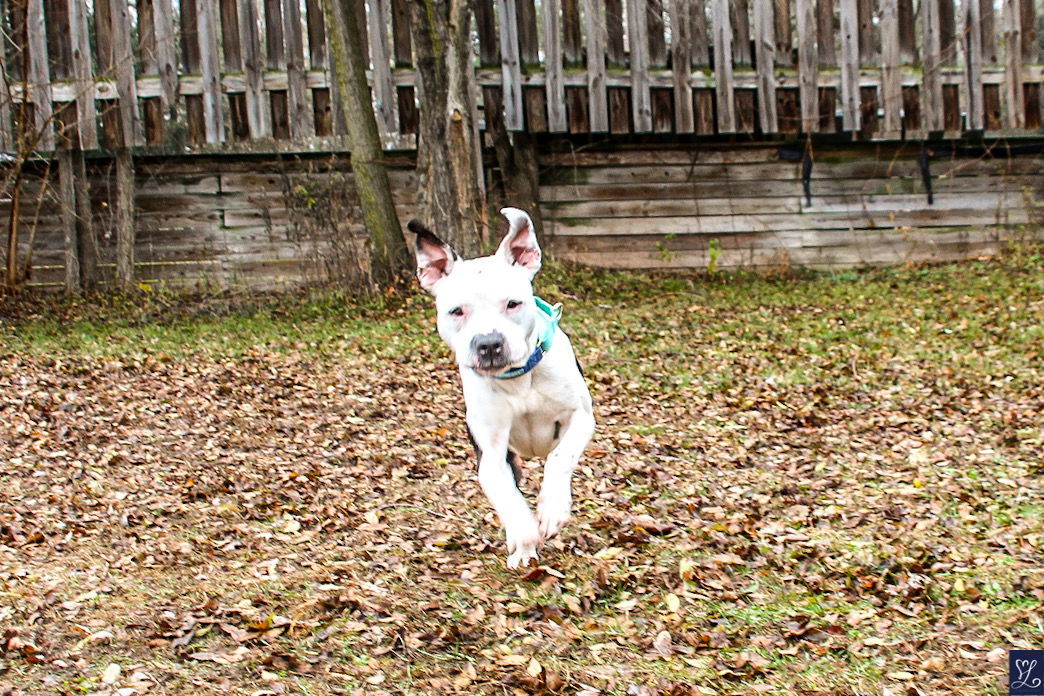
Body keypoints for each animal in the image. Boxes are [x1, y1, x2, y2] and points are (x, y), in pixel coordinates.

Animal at [409, 206, 597, 567]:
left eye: (513, 303)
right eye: (456, 311)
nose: (489, 343)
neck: (518, 377)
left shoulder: (580, 417)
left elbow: (560, 457)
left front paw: (552, 509)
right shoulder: (492, 451)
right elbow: (505, 494)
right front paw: (523, 535)